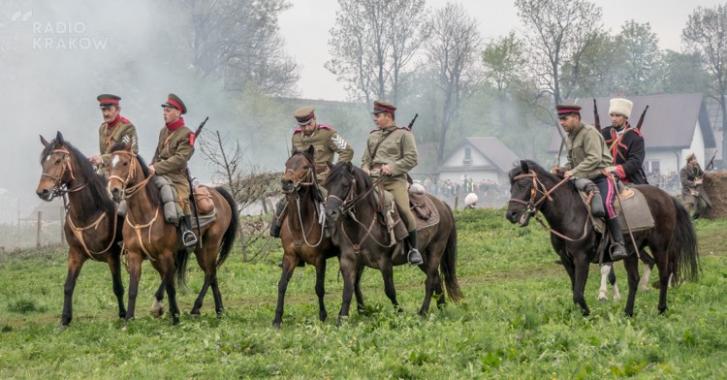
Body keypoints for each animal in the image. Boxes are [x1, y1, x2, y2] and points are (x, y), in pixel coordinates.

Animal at [35, 131, 126, 326]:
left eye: (58, 160)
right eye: (43, 162)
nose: (42, 192)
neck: (89, 212)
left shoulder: (113, 256)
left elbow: (118, 287)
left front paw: (123, 315)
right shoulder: (75, 254)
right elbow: (68, 286)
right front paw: (64, 320)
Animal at [106, 144, 237, 326]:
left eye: (125, 163)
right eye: (109, 164)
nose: (114, 190)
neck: (143, 215)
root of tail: (217, 193)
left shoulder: (166, 254)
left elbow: (171, 287)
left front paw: (174, 316)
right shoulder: (136, 255)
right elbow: (134, 289)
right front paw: (129, 319)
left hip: (210, 245)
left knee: (210, 272)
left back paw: (196, 308)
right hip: (197, 249)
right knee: (211, 275)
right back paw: (219, 311)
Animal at [272, 147, 366, 328]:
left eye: (305, 166)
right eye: (287, 164)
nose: (286, 182)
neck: (300, 225)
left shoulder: (319, 259)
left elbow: (319, 288)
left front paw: (322, 315)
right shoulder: (290, 257)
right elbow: (282, 285)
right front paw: (277, 319)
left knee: (354, 280)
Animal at [324, 162, 460, 322]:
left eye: (345, 184)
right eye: (326, 185)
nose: (330, 212)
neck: (362, 225)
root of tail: (443, 204)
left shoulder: (385, 262)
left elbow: (390, 290)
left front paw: (399, 312)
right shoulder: (349, 261)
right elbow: (348, 290)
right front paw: (341, 319)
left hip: (436, 250)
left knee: (430, 280)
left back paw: (423, 312)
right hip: (424, 256)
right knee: (436, 279)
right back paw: (441, 307)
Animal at [506, 159, 700, 316]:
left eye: (523, 184)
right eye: (511, 187)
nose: (511, 214)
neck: (569, 212)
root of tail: (667, 197)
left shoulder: (581, 258)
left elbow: (578, 292)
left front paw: (588, 314)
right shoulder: (567, 260)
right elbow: (575, 290)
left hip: (660, 247)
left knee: (664, 273)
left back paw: (661, 308)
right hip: (630, 251)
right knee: (634, 279)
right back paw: (628, 312)